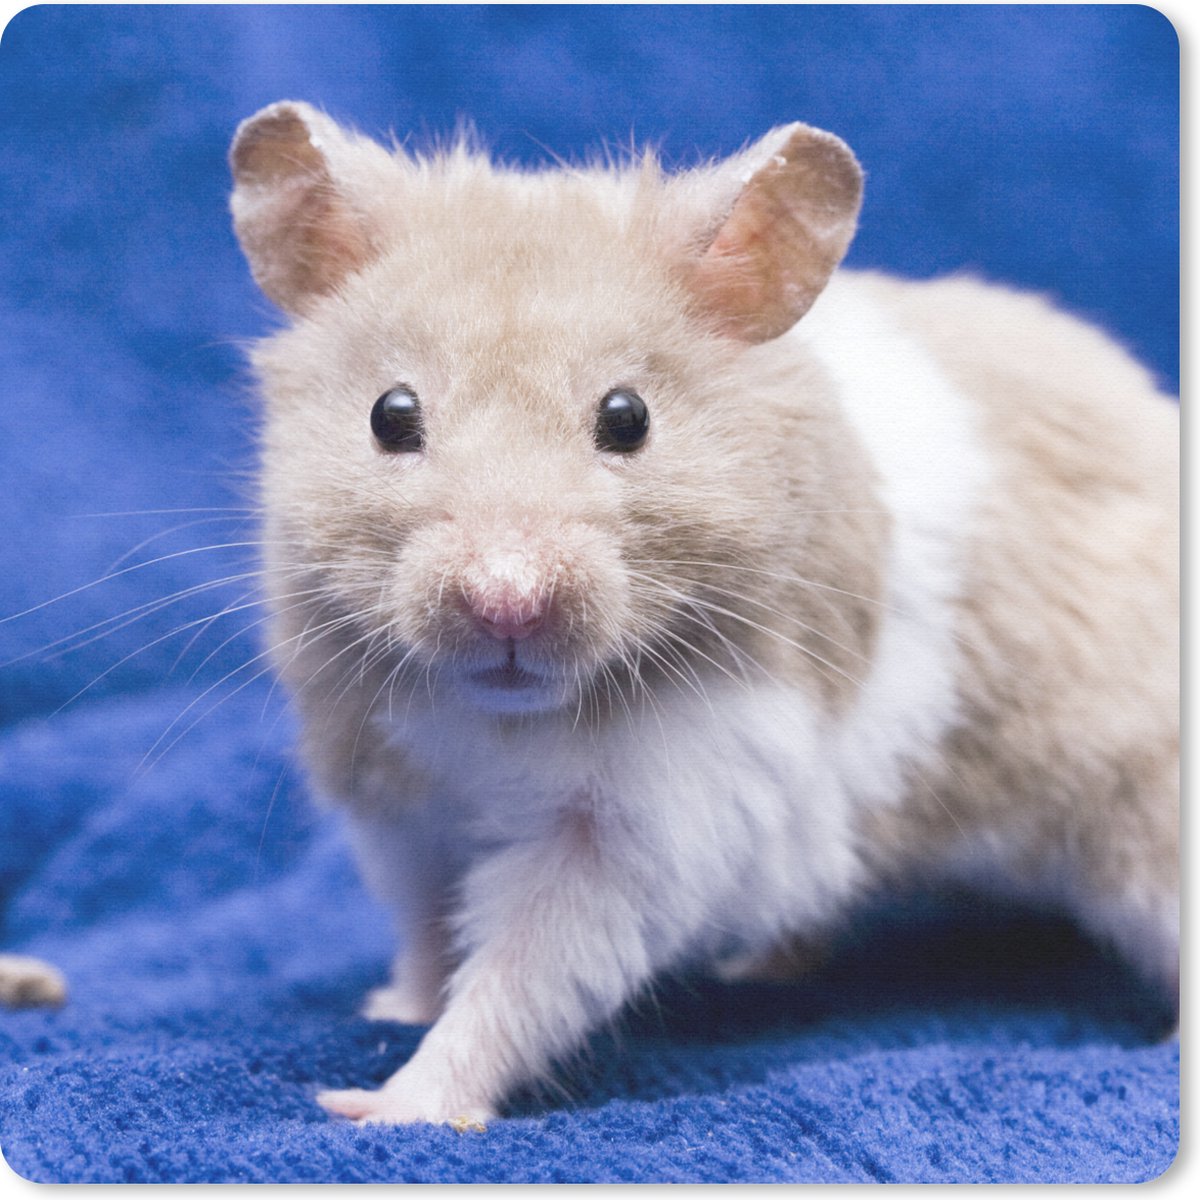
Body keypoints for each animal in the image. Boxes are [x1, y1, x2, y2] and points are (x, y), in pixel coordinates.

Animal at [228, 102, 1178, 1126]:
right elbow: (424, 927)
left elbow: (520, 978)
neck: (498, 717)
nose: (507, 602)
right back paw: (758, 967)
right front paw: (392, 1009)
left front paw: (379, 1106)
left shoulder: (646, 825)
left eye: (627, 417)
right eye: (390, 414)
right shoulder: (390, 793)